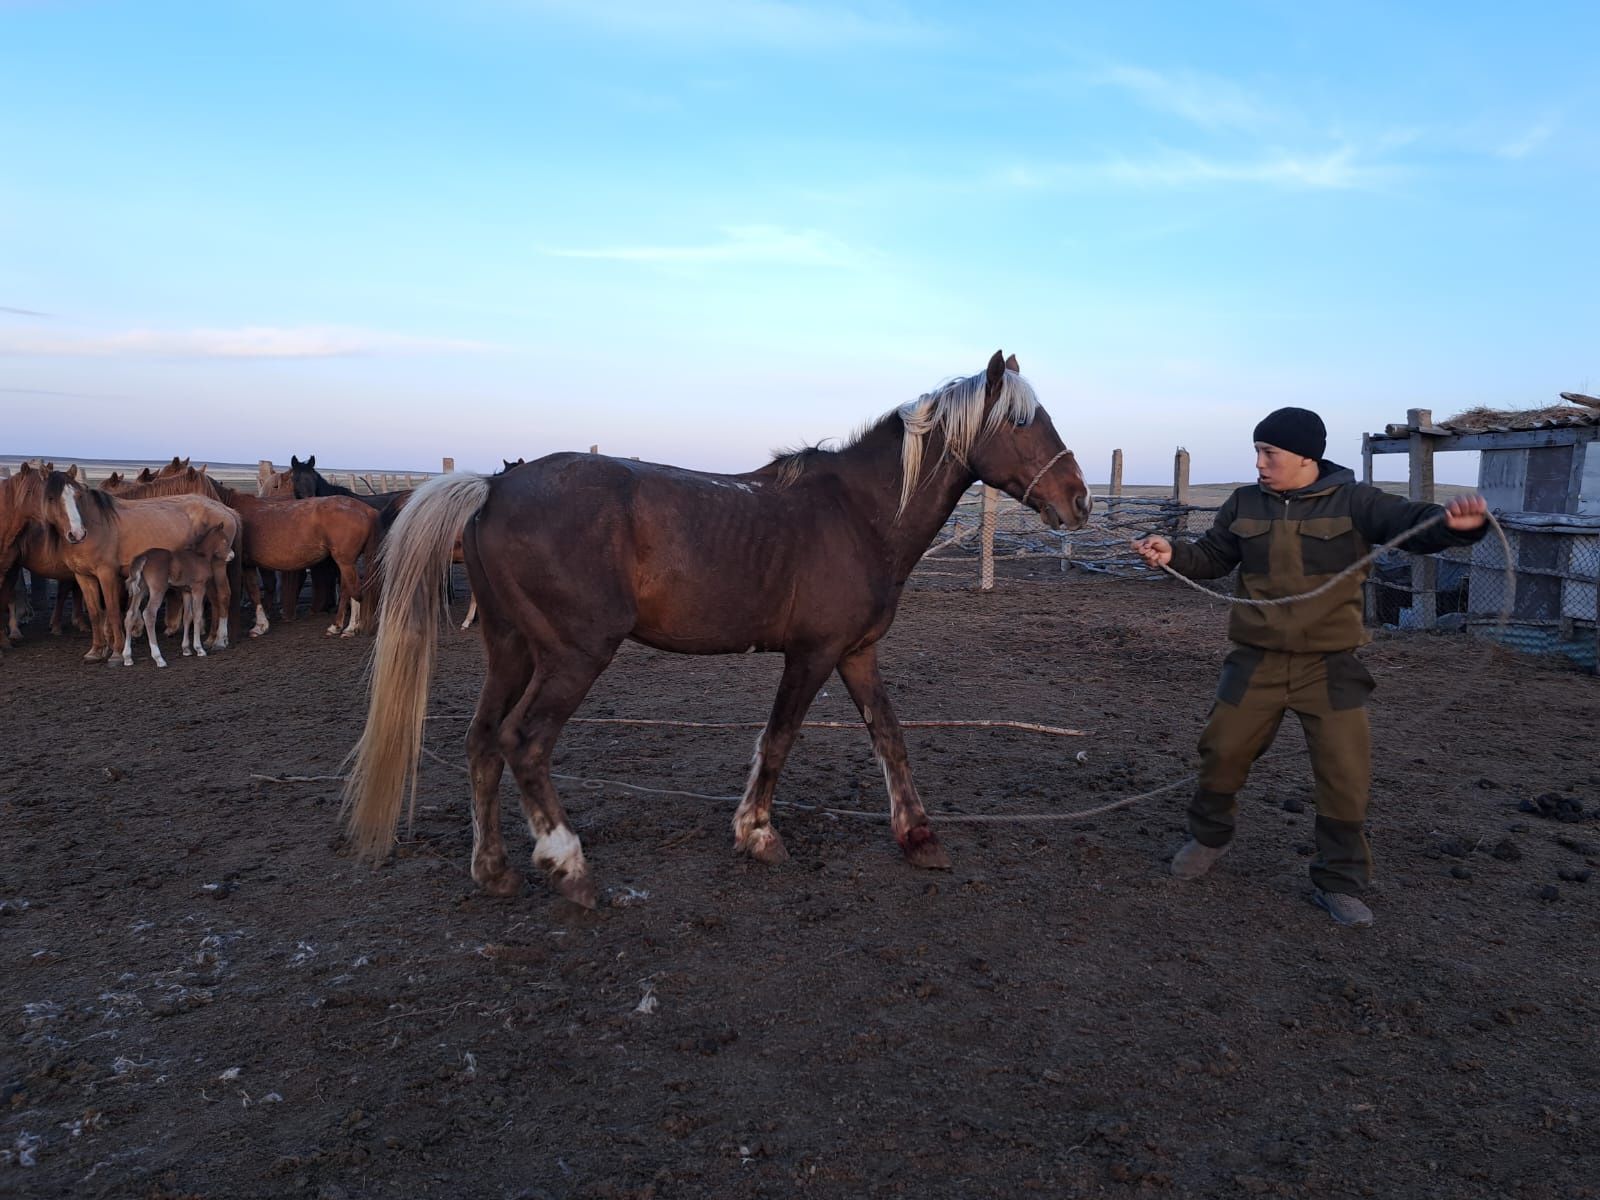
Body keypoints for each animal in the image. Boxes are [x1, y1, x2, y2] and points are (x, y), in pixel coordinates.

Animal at [39, 470, 240, 662]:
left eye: (78, 496)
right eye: (51, 498)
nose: (77, 533)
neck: (96, 524)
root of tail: (226, 510)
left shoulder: (107, 574)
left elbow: (113, 610)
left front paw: (117, 652)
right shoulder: (83, 577)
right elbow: (95, 612)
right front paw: (96, 651)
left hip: (218, 565)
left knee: (223, 595)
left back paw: (220, 640)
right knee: (214, 599)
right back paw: (211, 639)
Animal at [344, 352, 1094, 908]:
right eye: (1021, 423)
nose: (1080, 501)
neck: (858, 514)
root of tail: (494, 488)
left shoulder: (857, 653)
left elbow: (890, 736)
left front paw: (918, 836)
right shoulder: (812, 654)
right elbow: (780, 739)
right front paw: (757, 835)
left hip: (512, 650)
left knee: (480, 744)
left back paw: (495, 869)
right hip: (573, 655)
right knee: (522, 743)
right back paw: (570, 867)